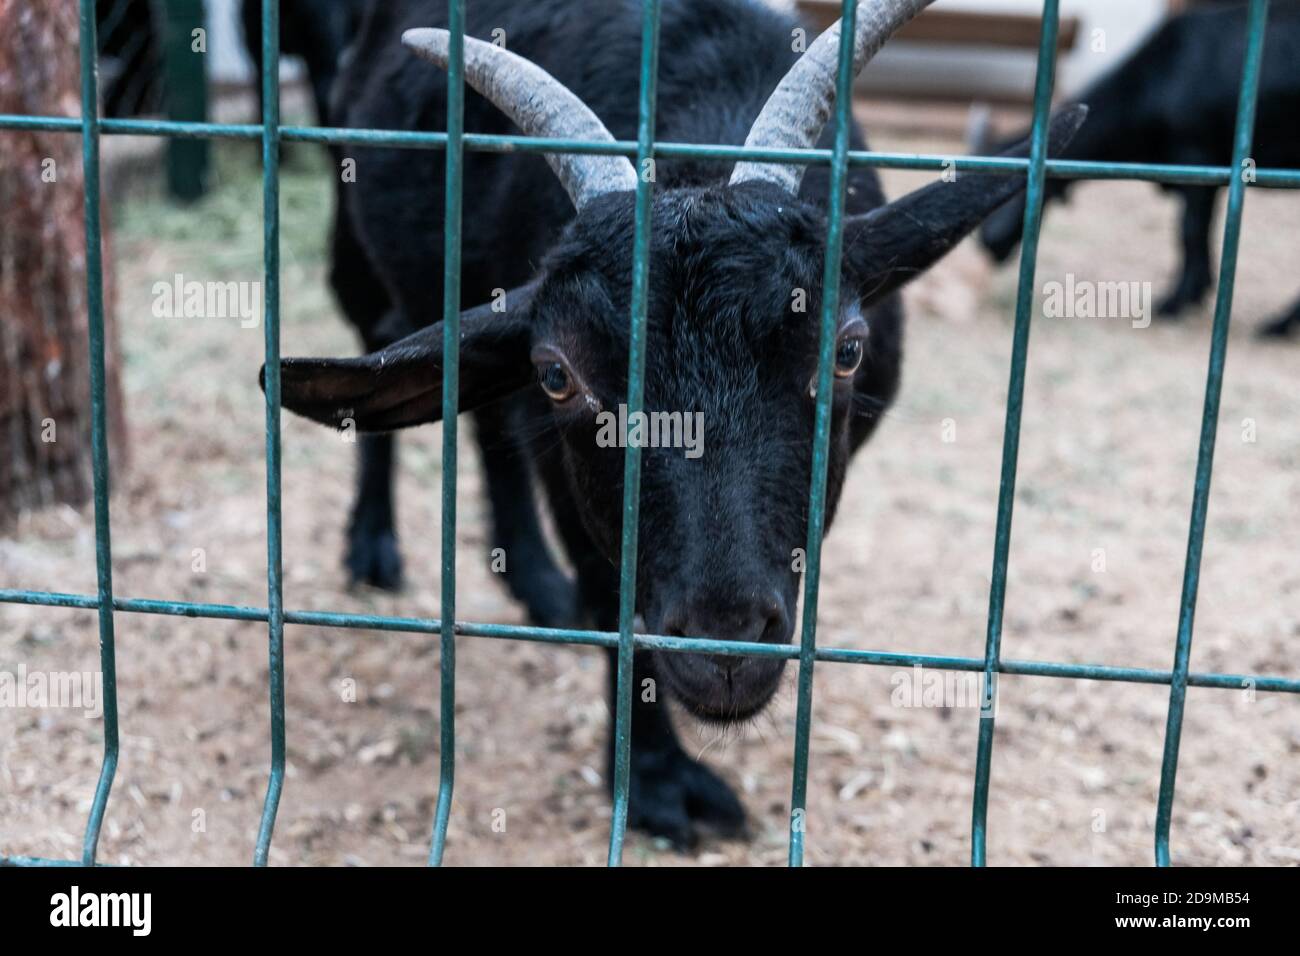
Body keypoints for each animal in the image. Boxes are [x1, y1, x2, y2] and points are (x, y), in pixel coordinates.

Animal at [269, 0, 1081, 842]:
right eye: (558, 373)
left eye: (848, 349)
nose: (724, 638)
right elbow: (609, 591)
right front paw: (658, 781)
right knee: (381, 335)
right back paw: (374, 546)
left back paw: (531, 580)